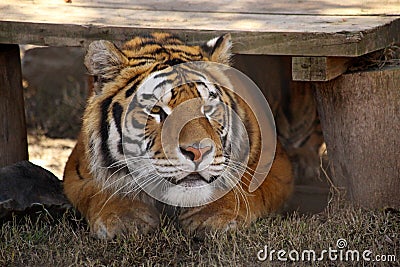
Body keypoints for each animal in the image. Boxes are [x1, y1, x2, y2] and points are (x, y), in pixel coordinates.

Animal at [63, 32, 294, 240]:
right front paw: (124, 217)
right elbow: (99, 189)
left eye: (207, 108)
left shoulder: (275, 164)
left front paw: (214, 215)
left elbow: (245, 184)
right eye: (156, 110)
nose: (198, 151)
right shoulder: (78, 171)